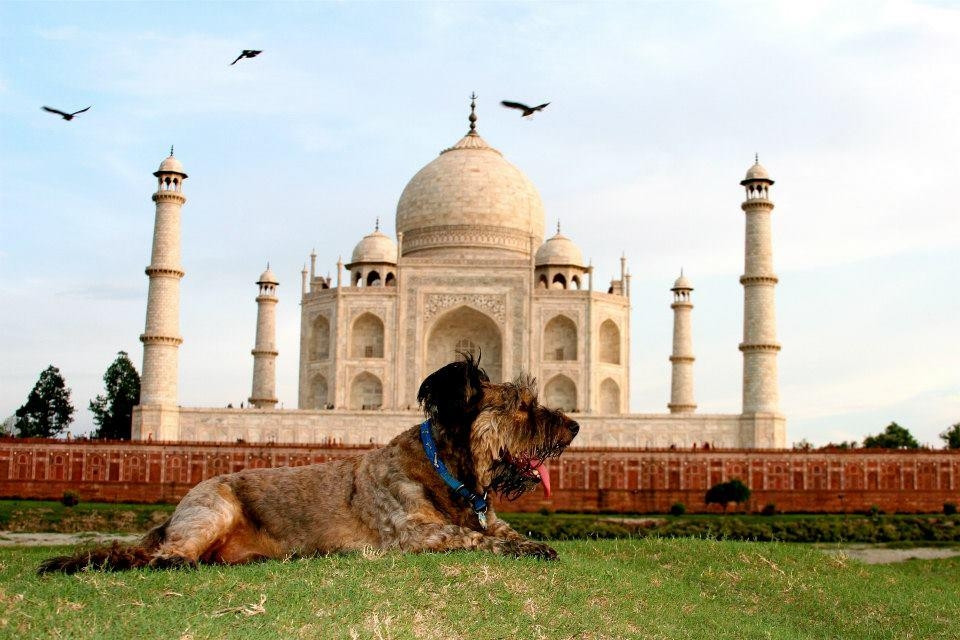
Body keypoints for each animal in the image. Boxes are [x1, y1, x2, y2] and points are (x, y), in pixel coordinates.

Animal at [37, 356, 576, 576]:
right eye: (522, 406)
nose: (573, 426)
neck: (449, 475)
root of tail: (167, 520)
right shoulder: (412, 533)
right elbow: (472, 538)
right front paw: (520, 549)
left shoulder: (487, 515)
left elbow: (506, 532)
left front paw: (530, 543)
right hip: (210, 507)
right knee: (163, 559)